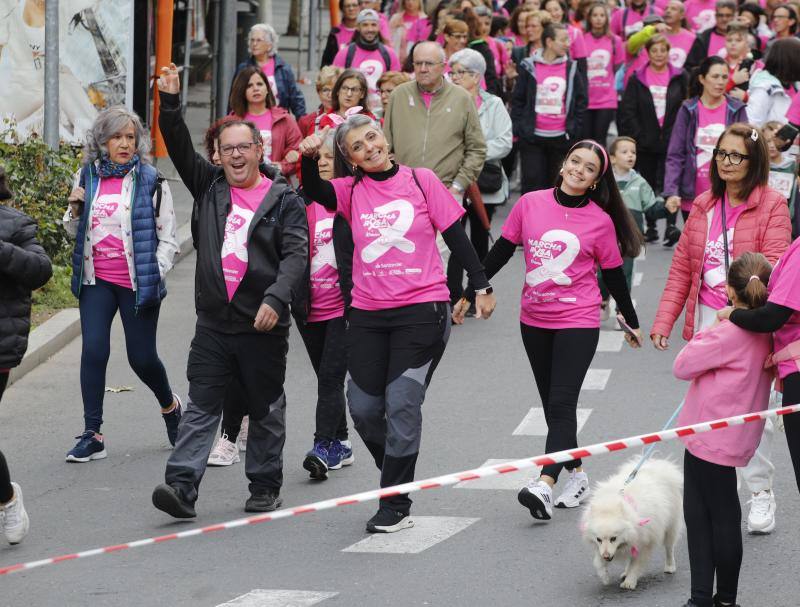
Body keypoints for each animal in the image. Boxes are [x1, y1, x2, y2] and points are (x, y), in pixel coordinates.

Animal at [580, 458, 684, 592]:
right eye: (598, 539)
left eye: (613, 538)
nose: (606, 556)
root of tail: (657, 466)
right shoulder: (603, 548)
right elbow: (598, 562)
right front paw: (605, 577)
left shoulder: (644, 543)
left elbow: (636, 565)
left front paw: (629, 582)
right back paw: (625, 572)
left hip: (670, 527)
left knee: (669, 548)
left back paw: (670, 566)